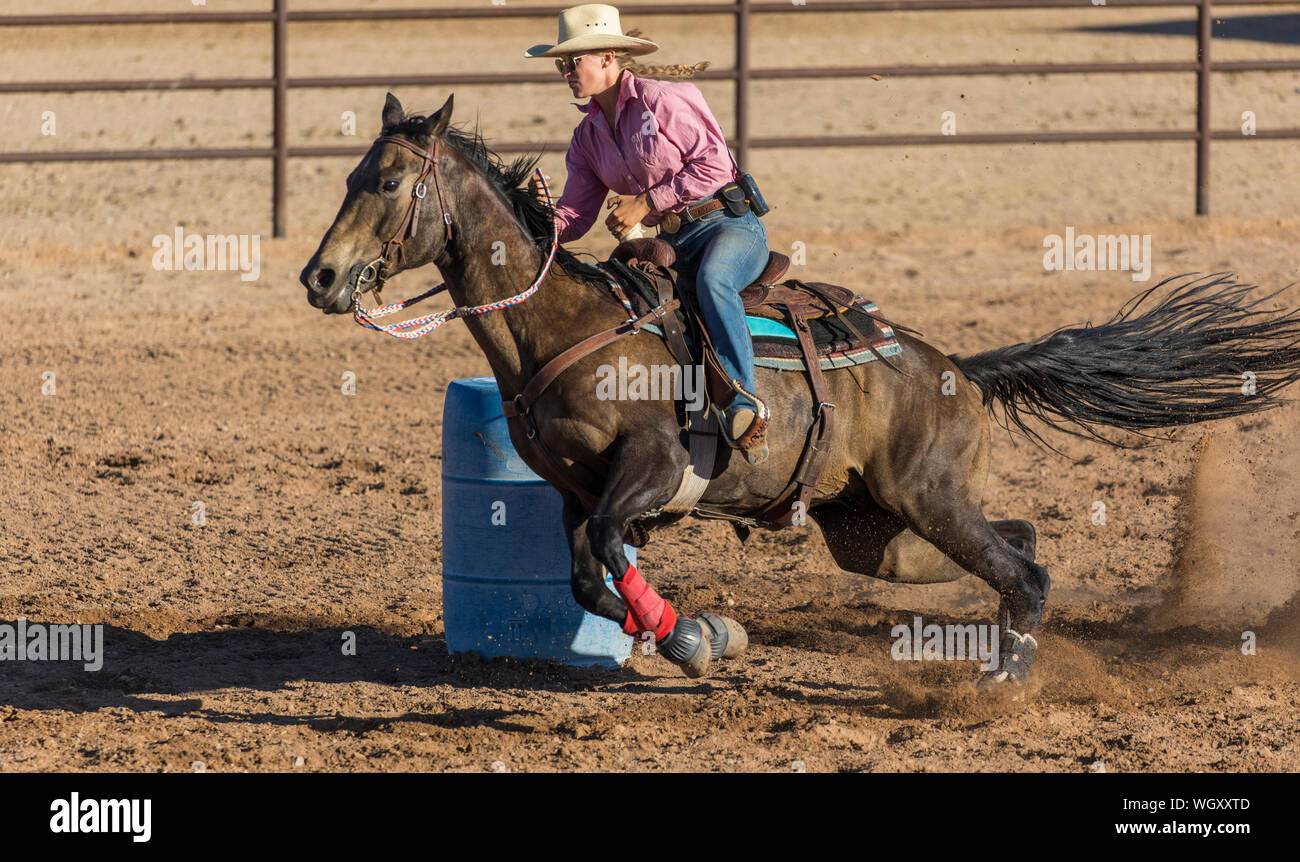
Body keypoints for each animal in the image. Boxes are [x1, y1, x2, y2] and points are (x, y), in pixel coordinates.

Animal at [299, 92, 1300, 686]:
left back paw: (1004, 680)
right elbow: (589, 575)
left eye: (388, 180)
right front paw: (695, 634)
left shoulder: (651, 468)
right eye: (351, 175)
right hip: (880, 531)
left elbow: (614, 549)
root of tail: (957, 368)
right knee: (1020, 543)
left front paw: (691, 637)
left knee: (1025, 567)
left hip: (923, 499)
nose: (319, 277)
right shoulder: (572, 491)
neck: (570, 327)